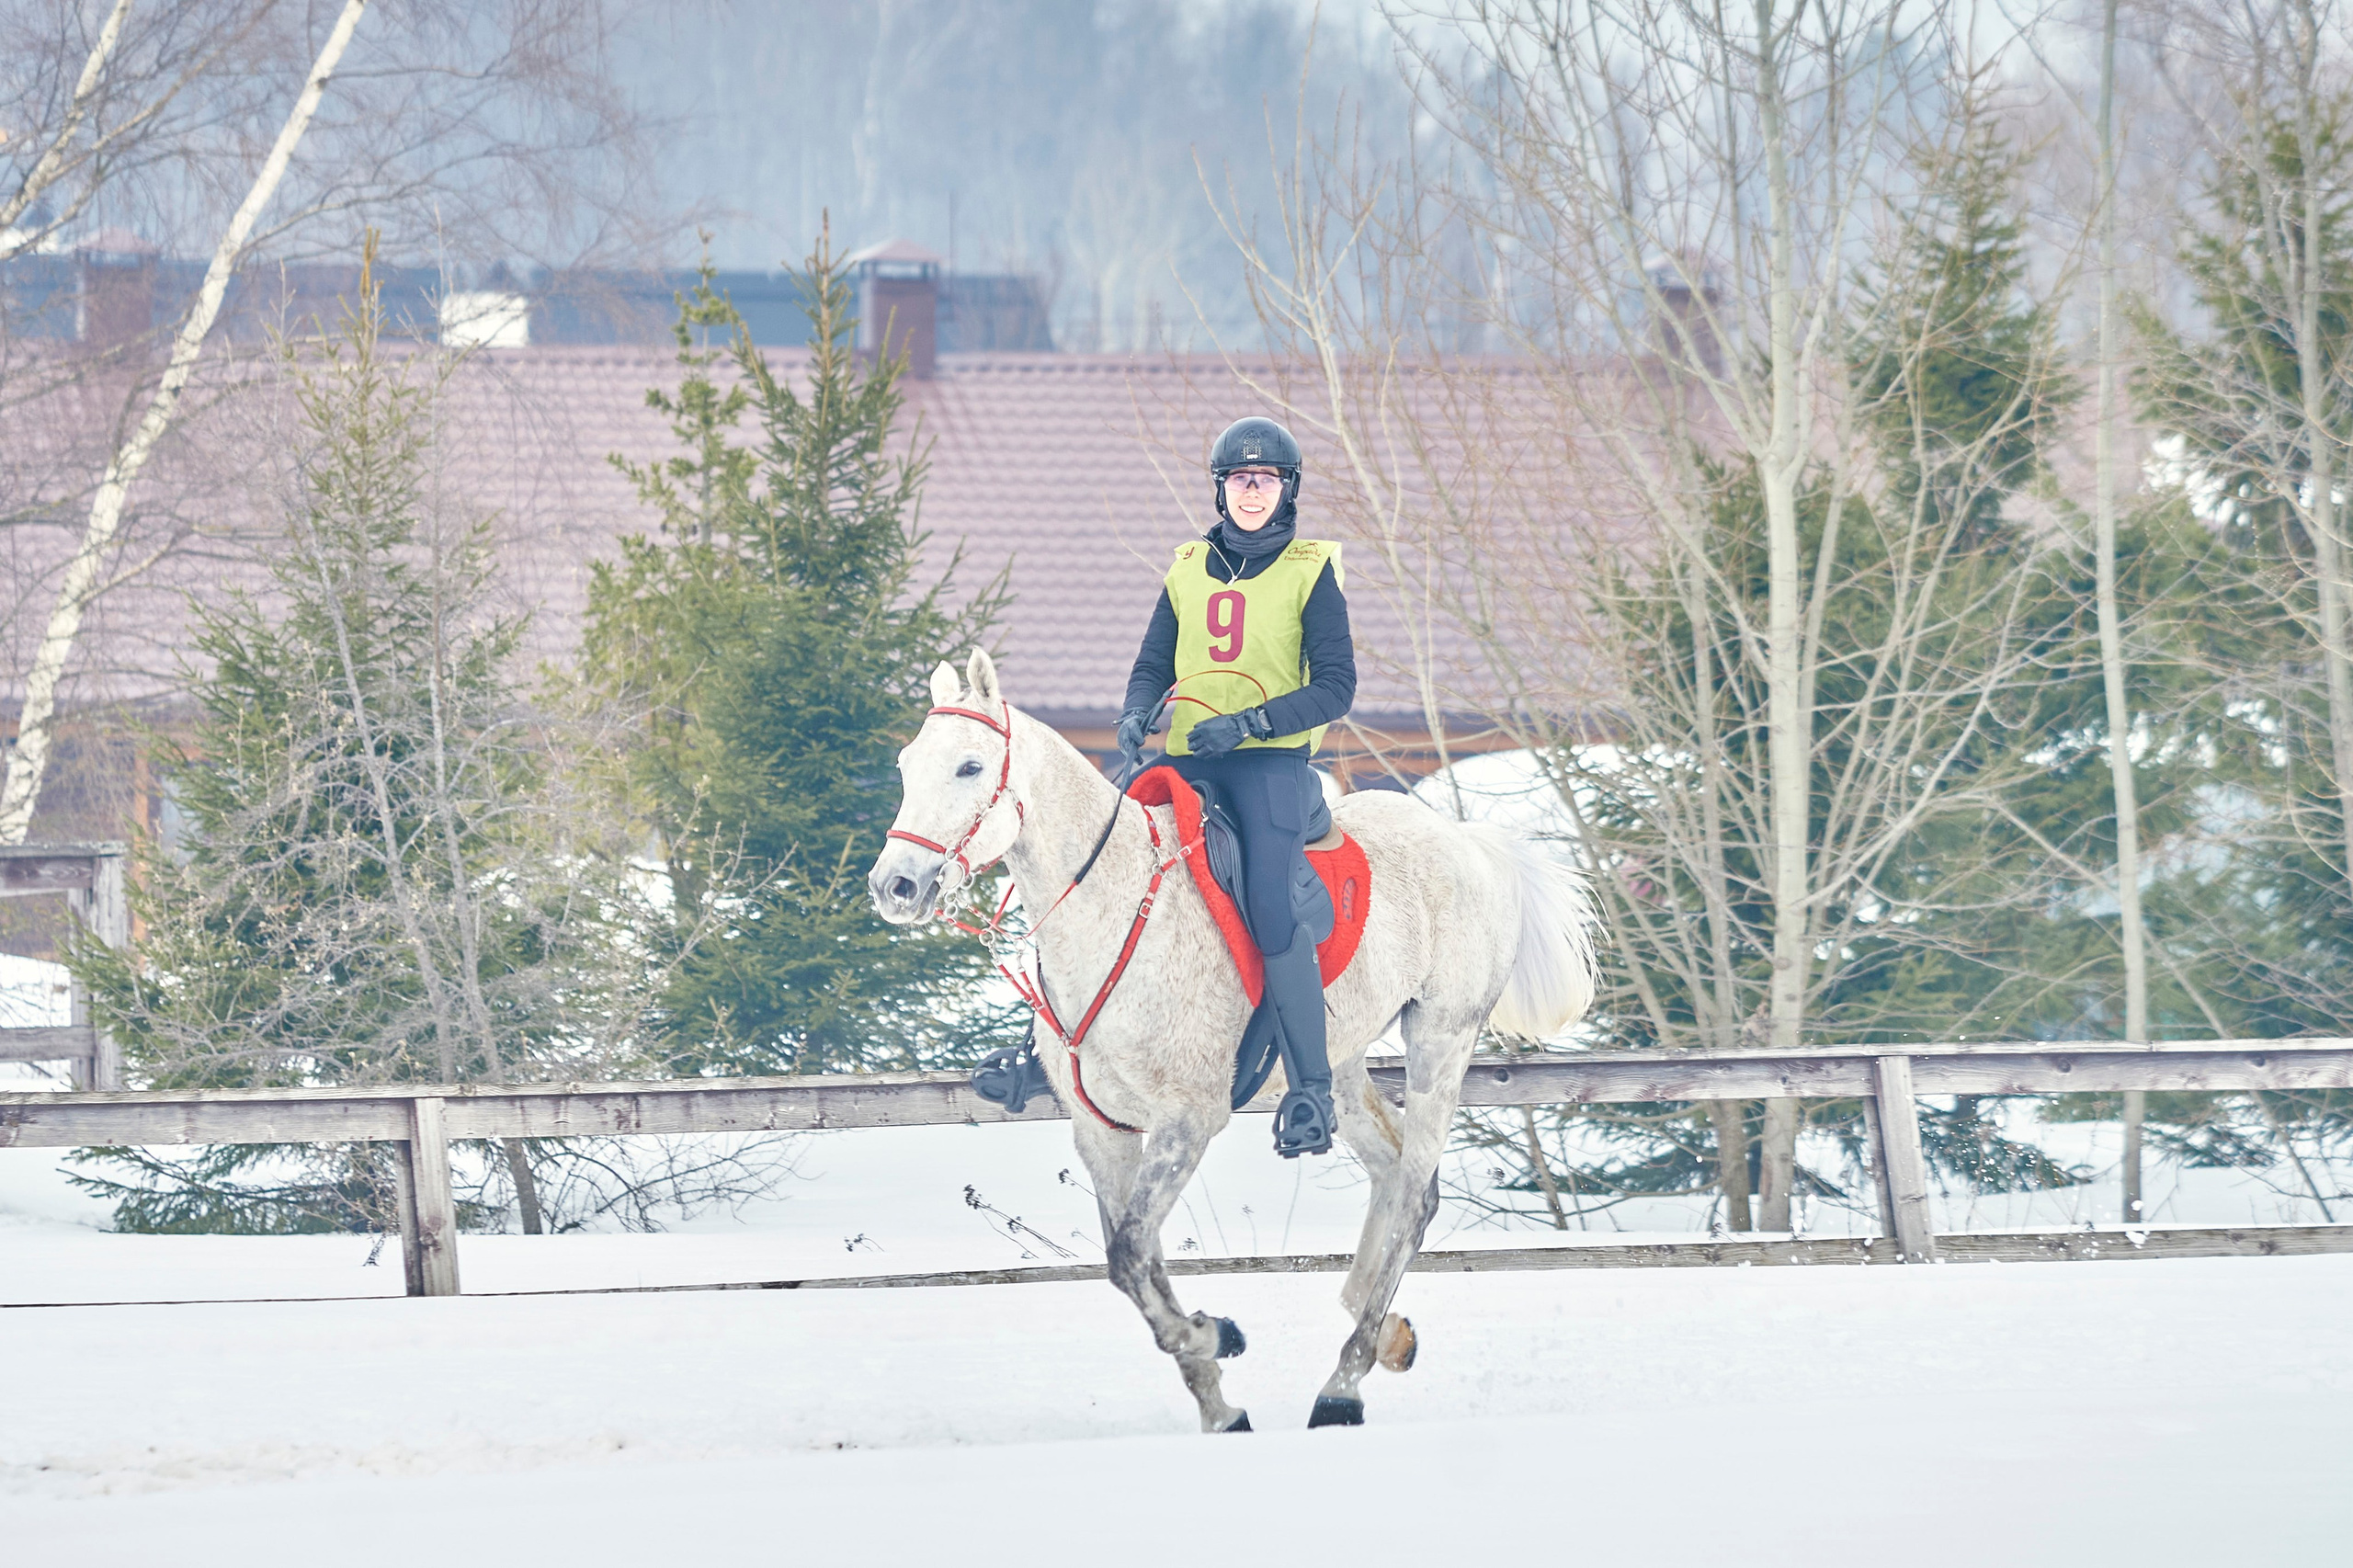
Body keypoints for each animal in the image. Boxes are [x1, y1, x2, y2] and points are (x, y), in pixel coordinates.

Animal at [868, 649, 1599, 1432]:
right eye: (907, 764)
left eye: (970, 766)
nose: (895, 885)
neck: (1116, 907)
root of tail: (1467, 837)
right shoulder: (1104, 1131)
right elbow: (1136, 1263)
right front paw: (1219, 1401)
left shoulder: (1187, 1121)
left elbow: (1130, 1253)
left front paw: (1215, 1337)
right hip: (1340, 1067)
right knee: (1405, 1181)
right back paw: (1383, 1333)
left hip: (1442, 1038)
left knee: (1409, 1196)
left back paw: (1343, 1383)